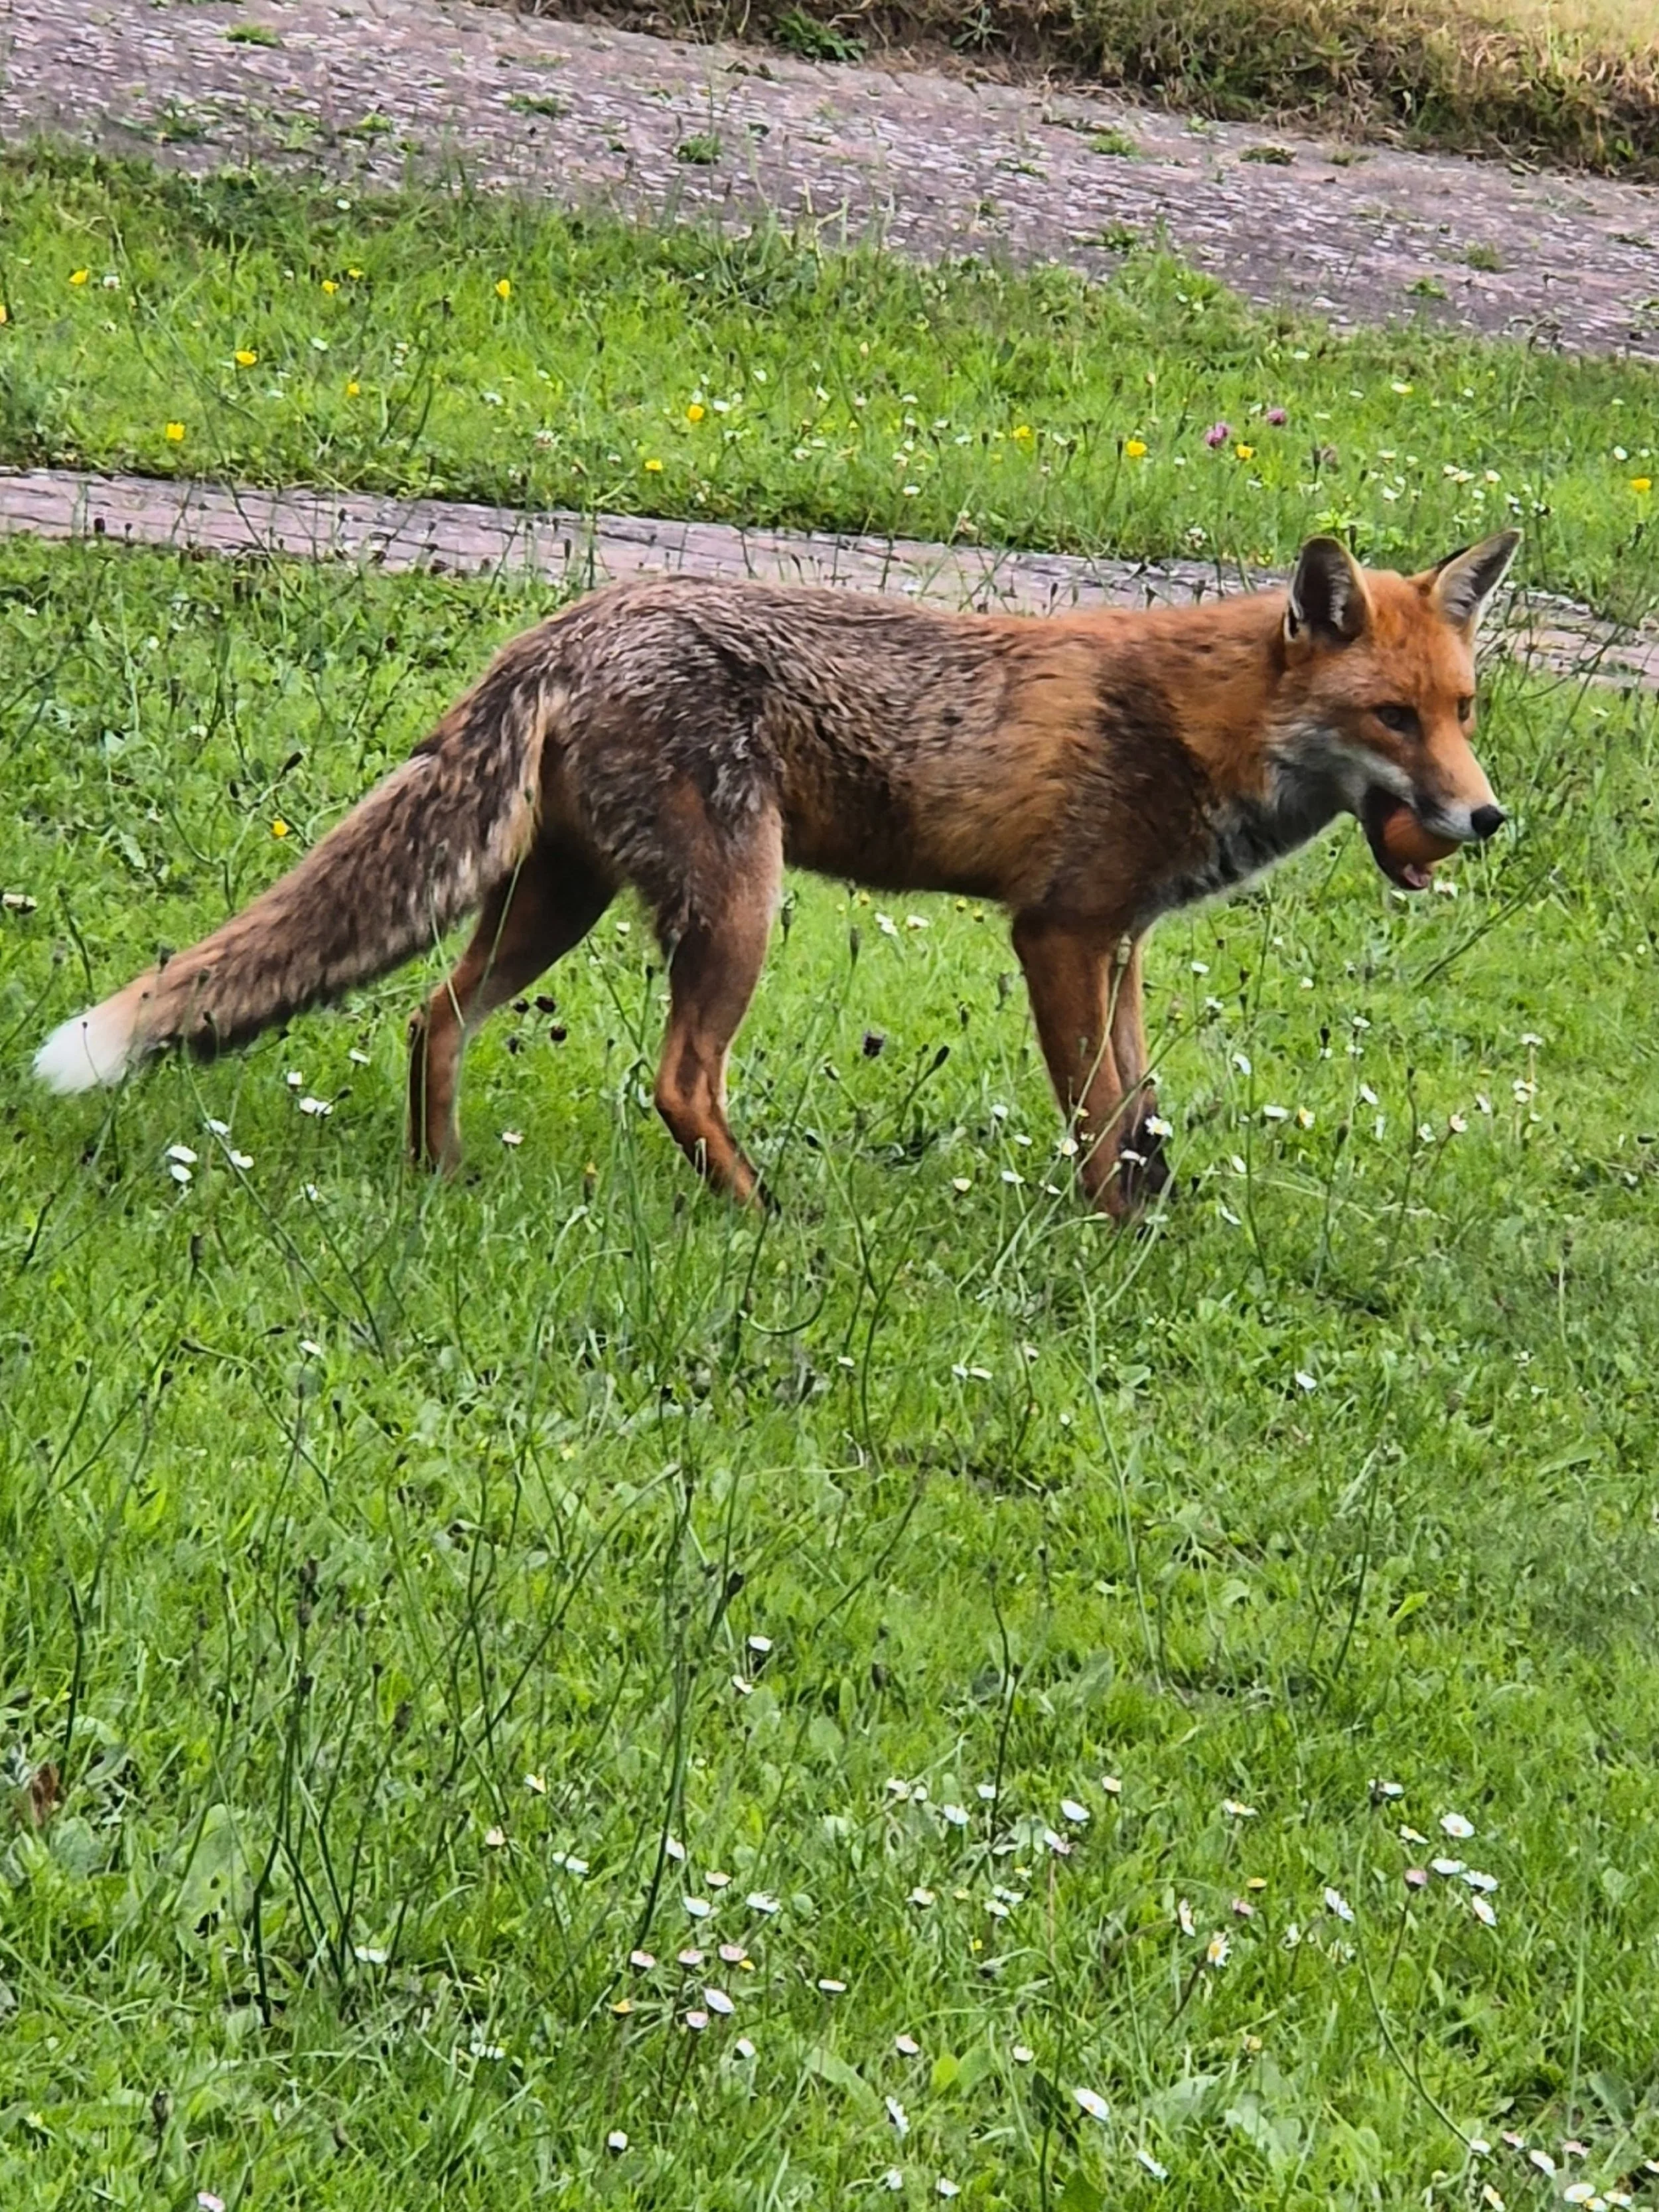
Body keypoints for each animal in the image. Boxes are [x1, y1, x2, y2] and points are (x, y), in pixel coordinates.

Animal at [34, 528, 1519, 1220]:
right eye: (1392, 720)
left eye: (1463, 710)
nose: (1485, 816)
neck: (1207, 723)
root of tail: (575, 618)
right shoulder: (1058, 930)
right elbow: (1097, 1115)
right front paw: (1110, 1235)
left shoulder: (1126, 943)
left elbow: (1143, 1104)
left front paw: (1155, 1219)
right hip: (737, 904)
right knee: (678, 1081)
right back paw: (757, 1215)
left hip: (557, 897)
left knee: (431, 1018)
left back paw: (441, 1181)